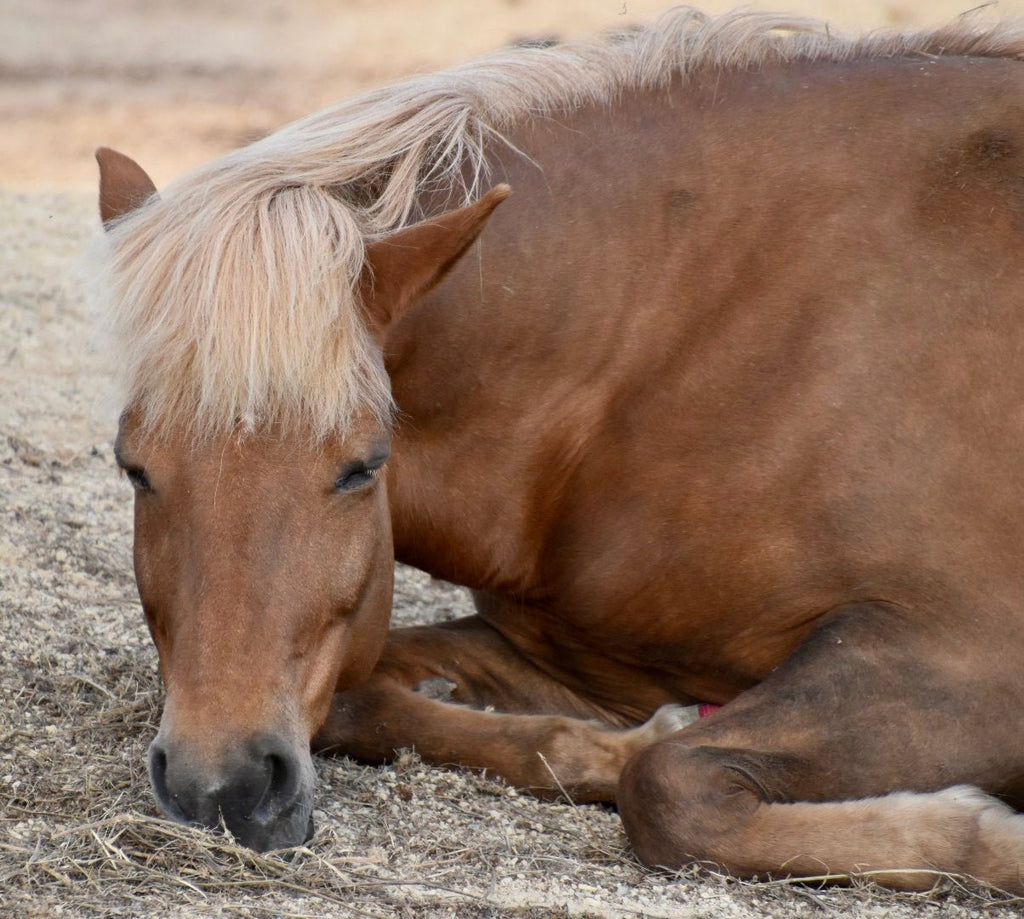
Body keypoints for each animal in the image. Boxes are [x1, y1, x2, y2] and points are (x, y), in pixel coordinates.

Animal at [94, 8, 1024, 889]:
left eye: (362, 467)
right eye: (135, 468)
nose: (225, 789)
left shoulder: (965, 661)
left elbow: (669, 786)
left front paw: (989, 837)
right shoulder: (580, 661)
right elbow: (369, 698)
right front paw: (627, 738)